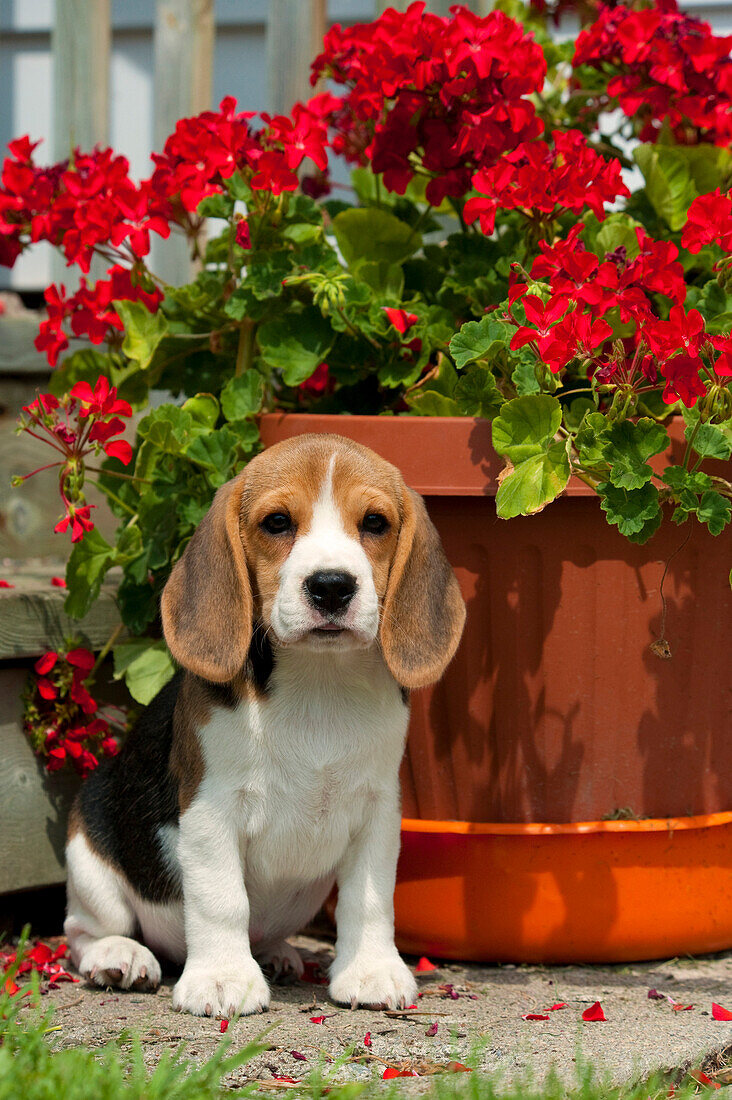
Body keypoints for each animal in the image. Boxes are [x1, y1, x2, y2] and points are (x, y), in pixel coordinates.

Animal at [61, 429, 462, 1012]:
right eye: (276, 522)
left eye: (375, 523)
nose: (332, 586)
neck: (319, 683)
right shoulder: (210, 809)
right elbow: (221, 900)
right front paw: (223, 979)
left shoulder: (379, 810)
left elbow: (369, 900)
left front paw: (370, 971)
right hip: (89, 850)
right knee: (85, 930)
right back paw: (120, 957)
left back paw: (277, 954)